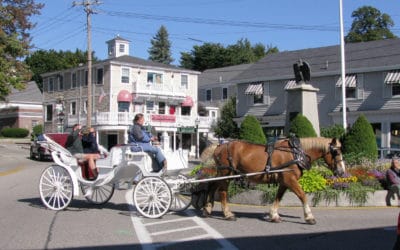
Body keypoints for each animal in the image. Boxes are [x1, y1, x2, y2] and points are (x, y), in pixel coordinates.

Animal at [202, 137, 346, 225]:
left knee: (212, 185)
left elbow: (278, 197)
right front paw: (310, 217)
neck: (296, 153)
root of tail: (219, 146)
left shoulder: (284, 181)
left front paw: (274, 215)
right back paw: (228, 214)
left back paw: (207, 209)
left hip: (223, 174)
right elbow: (302, 196)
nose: (342, 172)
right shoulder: (290, 179)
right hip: (226, 174)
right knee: (223, 192)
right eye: (336, 152)